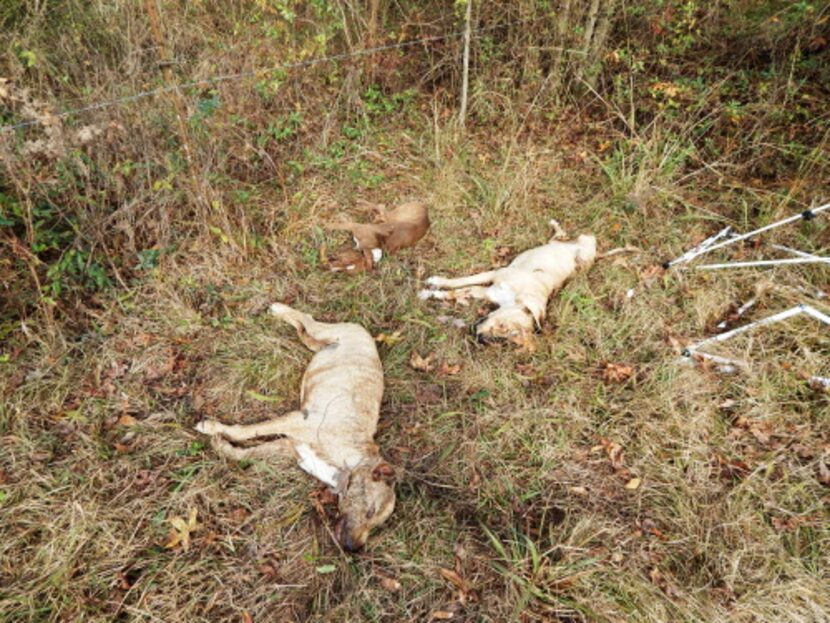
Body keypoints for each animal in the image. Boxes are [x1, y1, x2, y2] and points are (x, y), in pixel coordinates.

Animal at [422, 233, 600, 344]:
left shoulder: (487, 292)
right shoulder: (494, 274)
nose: (481, 339)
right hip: (577, 247)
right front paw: (434, 284)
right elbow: (460, 281)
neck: (517, 295)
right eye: (502, 326)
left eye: (507, 337)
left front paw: (434, 293)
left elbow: (456, 292)